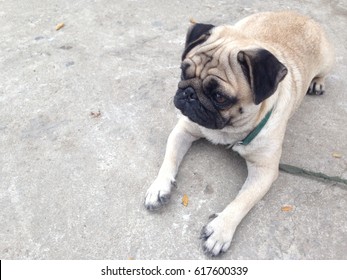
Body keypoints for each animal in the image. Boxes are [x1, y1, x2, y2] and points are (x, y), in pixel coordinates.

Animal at [144, 10, 334, 256]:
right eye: (183, 72)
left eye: (220, 97)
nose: (188, 94)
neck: (228, 130)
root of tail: (299, 14)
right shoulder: (184, 129)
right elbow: (169, 160)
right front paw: (159, 187)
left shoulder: (264, 171)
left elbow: (242, 200)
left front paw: (221, 229)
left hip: (327, 61)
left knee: (323, 74)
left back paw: (317, 83)